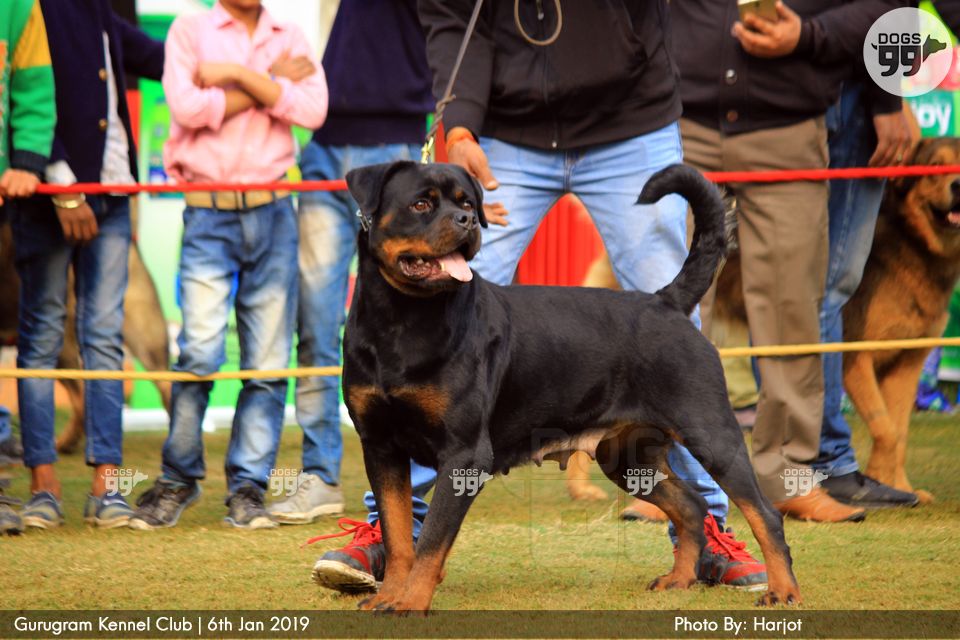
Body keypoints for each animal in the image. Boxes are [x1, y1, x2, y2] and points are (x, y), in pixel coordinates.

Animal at [339, 161, 800, 612]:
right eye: (421, 203)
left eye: (467, 202)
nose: (467, 220)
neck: (401, 320)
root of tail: (665, 301)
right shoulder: (381, 447)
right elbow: (399, 536)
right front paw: (389, 596)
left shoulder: (464, 454)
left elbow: (432, 540)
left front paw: (409, 603)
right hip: (627, 457)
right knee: (691, 505)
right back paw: (679, 579)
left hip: (710, 432)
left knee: (763, 513)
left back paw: (782, 590)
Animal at [842, 137, 960, 505]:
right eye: (935, 166)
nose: (958, 185)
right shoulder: (854, 356)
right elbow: (886, 430)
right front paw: (879, 484)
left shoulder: (907, 362)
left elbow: (900, 432)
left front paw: (900, 488)